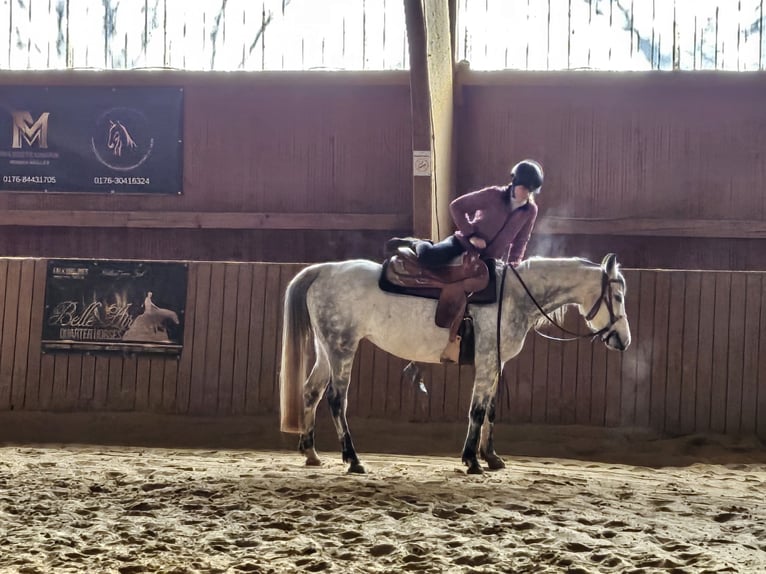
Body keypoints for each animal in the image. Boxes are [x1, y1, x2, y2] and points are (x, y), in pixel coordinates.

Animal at [279, 253, 631, 474]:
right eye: (617, 297)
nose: (623, 341)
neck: (513, 296)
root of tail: (323, 270)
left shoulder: (496, 363)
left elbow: (490, 409)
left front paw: (491, 457)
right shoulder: (487, 361)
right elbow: (477, 410)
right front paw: (472, 461)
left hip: (326, 350)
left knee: (311, 393)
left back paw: (311, 453)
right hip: (342, 349)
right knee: (336, 400)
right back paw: (352, 459)